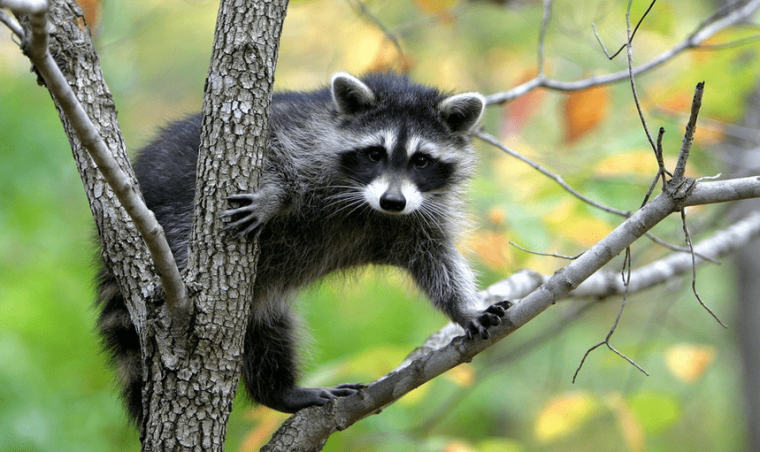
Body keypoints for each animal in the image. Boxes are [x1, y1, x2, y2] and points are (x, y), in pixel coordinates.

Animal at [96, 72, 510, 426]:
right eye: (375, 153)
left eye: (421, 160)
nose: (393, 201)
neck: (369, 205)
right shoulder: (302, 135)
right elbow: (275, 156)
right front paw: (273, 195)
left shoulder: (421, 214)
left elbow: (436, 260)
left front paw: (464, 309)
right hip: (175, 219)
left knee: (267, 332)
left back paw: (278, 391)